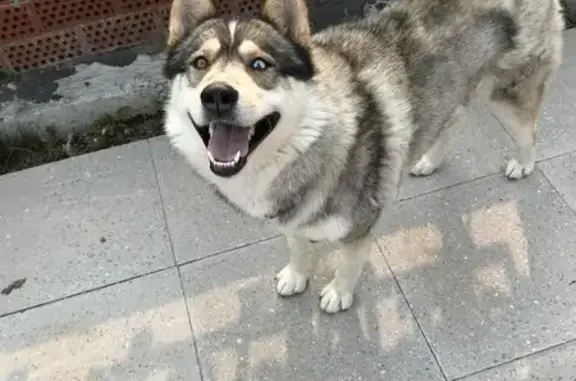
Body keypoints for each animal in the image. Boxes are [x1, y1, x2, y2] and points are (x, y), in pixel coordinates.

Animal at [162, 0, 564, 312]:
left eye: (260, 65)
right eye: (200, 63)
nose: (217, 95)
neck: (310, 139)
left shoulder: (360, 224)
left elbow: (348, 264)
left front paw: (339, 294)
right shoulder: (292, 216)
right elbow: (297, 246)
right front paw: (296, 275)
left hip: (509, 93)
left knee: (528, 129)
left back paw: (522, 164)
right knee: (453, 120)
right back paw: (428, 160)